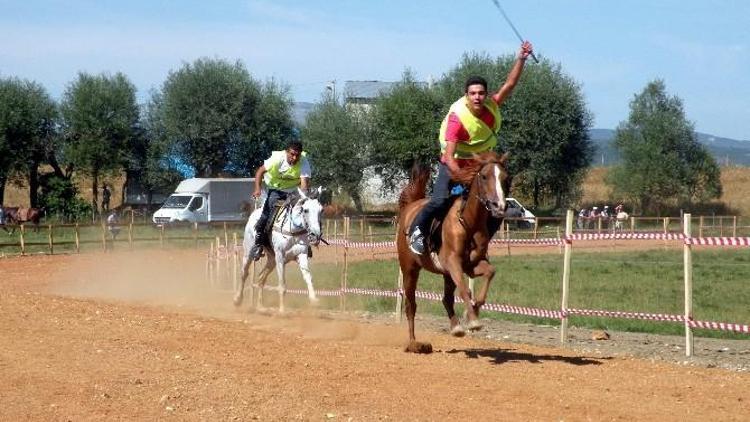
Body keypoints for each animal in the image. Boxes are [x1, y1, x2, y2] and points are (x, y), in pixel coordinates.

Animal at [396, 152, 516, 352]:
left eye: (505, 178)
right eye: (484, 176)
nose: (499, 206)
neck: (468, 222)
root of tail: (410, 207)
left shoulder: (470, 265)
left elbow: (490, 273)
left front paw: (472, 313)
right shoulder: (453, 263)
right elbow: (465, 290)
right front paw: (473, 321)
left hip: (446, 274)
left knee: (446, 299)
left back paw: (456, 327)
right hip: (409, 270)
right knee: (410, 305)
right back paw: (414, 343)